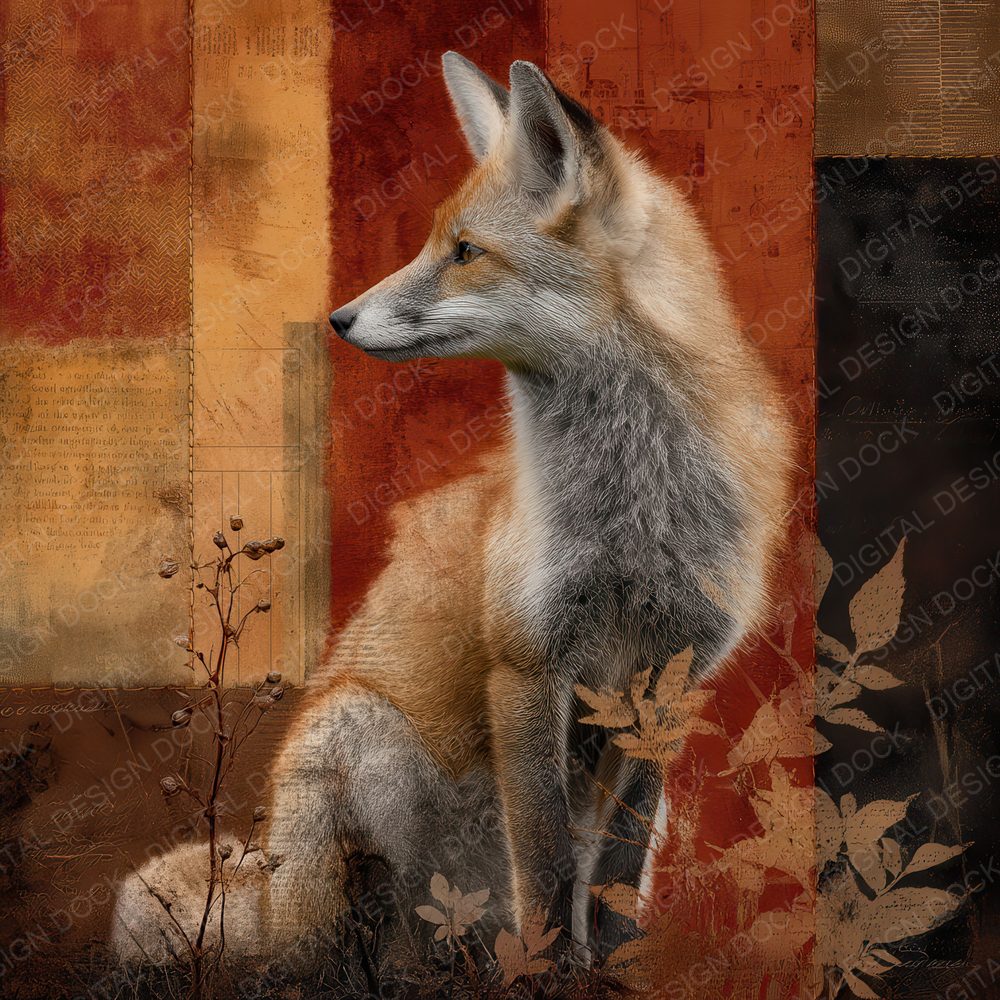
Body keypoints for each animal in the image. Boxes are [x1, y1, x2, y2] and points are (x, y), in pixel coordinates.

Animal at [113, 52, 792, 971]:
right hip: (361, 744)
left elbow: (612, 867)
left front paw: (611, 969)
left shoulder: (670, 677)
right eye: (434, 243)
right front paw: (550, 975)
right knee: (357, 939)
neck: (633, 509)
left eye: (465, 252)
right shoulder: (528, 663)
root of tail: (269, 901)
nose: (339, 317)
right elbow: (546, 864)